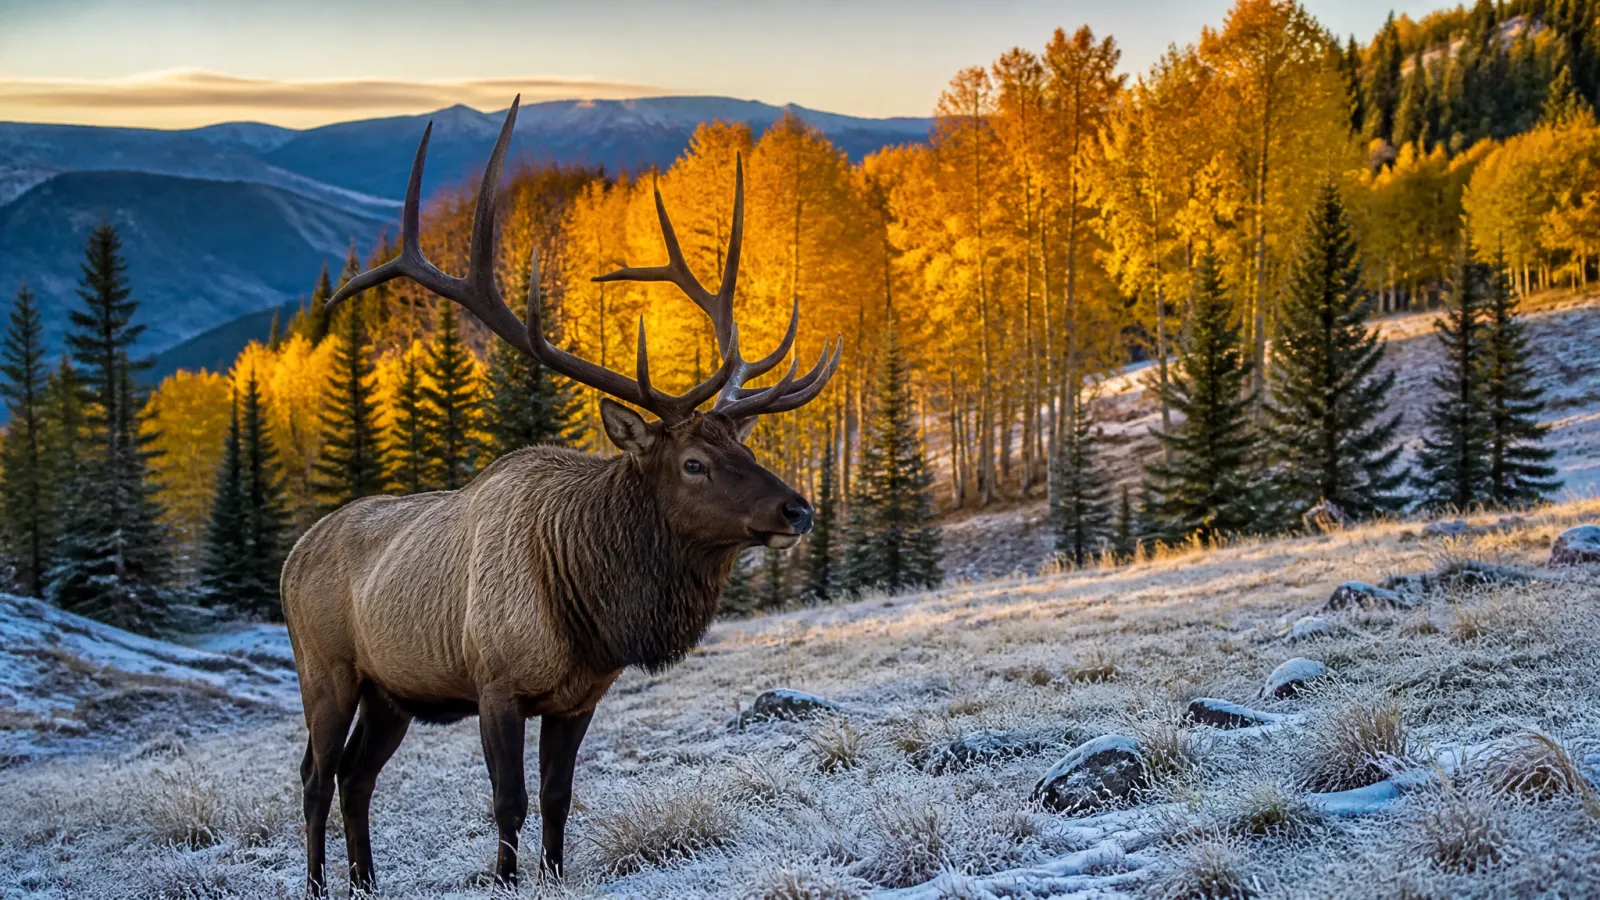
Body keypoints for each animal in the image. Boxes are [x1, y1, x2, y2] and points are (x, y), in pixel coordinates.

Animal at [281, 95, 841, 897]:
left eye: (747, 449)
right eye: (694, 463)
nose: (798, 507)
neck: (591, 611)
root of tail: (291, 557)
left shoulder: (579, 697)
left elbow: (557, 796)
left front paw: (551, 871)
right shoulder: (496, 682)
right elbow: (507, 799)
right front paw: (506, 877)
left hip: (392, 693)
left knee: (358, 779)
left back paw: (365, 881)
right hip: (326, 671)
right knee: (315, 776)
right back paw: (321, 883)